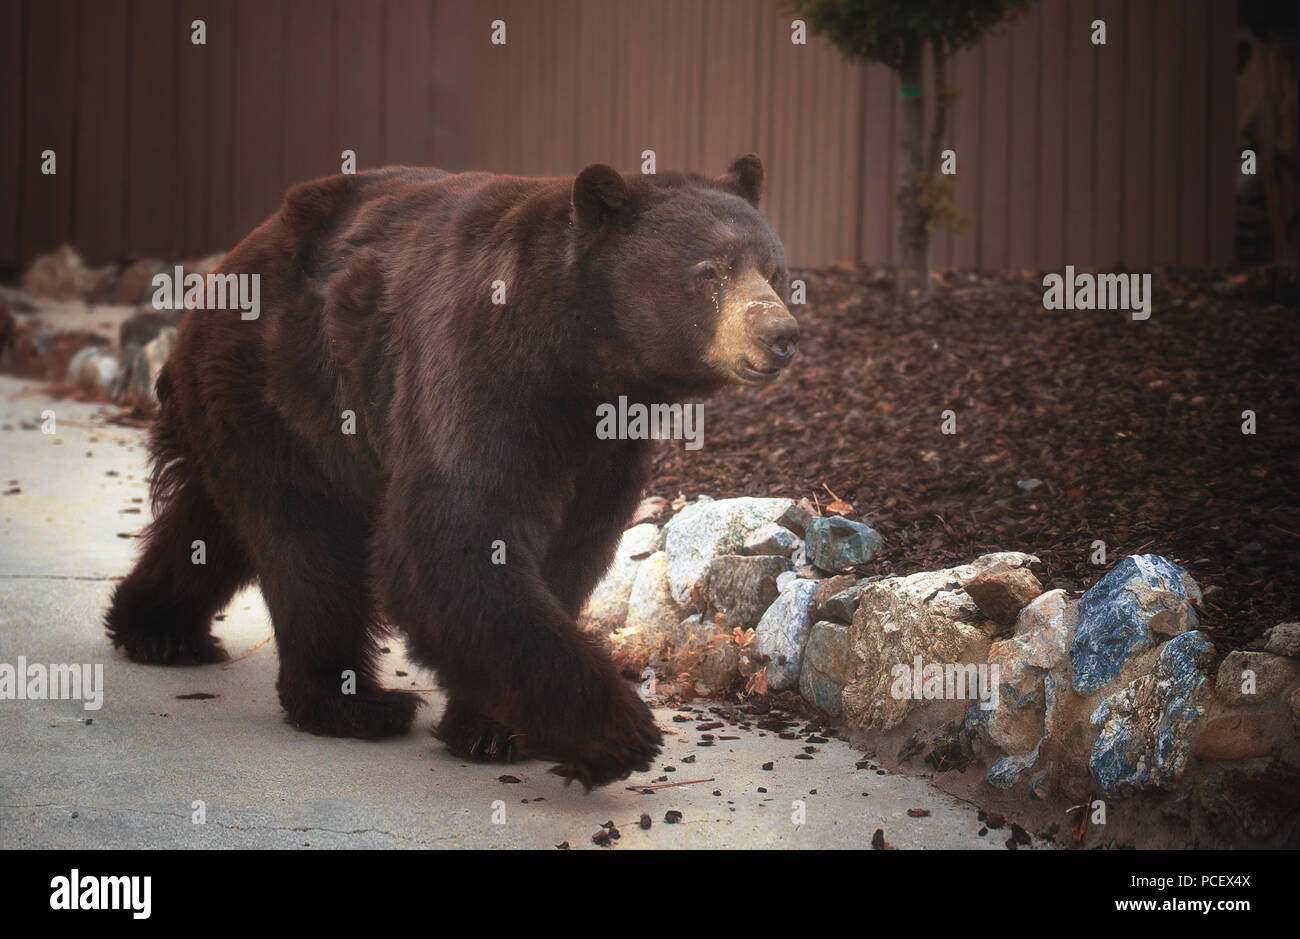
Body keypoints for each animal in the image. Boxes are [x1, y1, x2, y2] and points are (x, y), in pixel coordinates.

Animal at [109, 153, 800, 780]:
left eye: (775, 270)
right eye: (708, 272)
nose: (780, 334)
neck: (586, 362)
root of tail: (221, 269)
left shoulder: (608, 450)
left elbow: (569, 553)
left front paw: (493, 728)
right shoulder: (484, 368)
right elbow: (454, 538)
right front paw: (620, 733)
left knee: (214, 525)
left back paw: (158, 629)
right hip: (282, 381)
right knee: (306, 548)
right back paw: (355, 705)